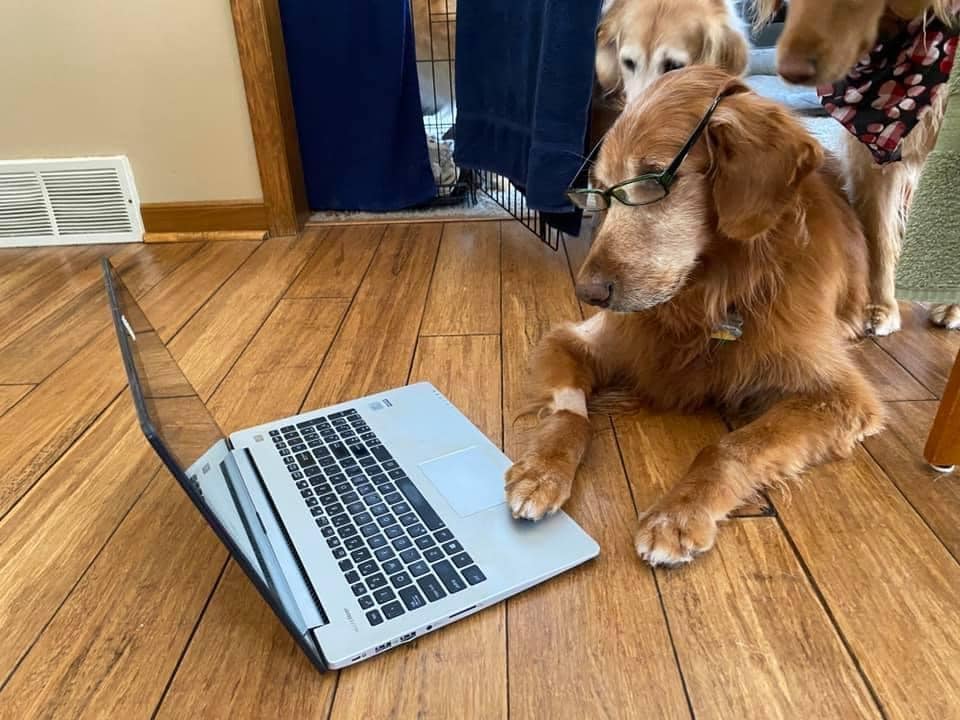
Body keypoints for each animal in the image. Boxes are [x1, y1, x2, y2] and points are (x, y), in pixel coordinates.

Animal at [506, 66, 880, 568]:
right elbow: (570, 413)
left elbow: (729, 447)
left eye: (651, 179)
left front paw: (679, 513)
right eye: (598, 191)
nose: (587, 292)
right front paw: (542, 470)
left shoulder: (839, 396)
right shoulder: (573, 339)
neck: (705, 297)